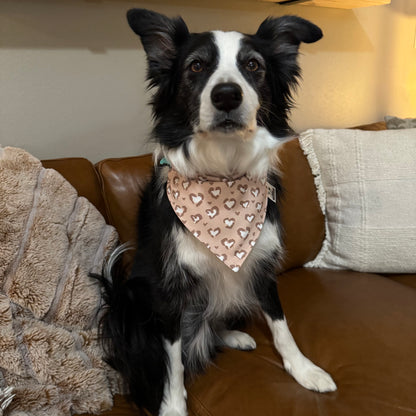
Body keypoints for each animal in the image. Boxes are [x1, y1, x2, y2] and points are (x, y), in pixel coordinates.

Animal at [100, 9, 334, 416]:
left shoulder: (261, 263)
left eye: (253, 65)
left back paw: (234, 335)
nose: (226, 95)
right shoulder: (170, 288)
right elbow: (173, 362)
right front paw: (172, 406)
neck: (222, 176)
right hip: (129, 299)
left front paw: (304, 370)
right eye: (196, 66)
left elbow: (281, 324)